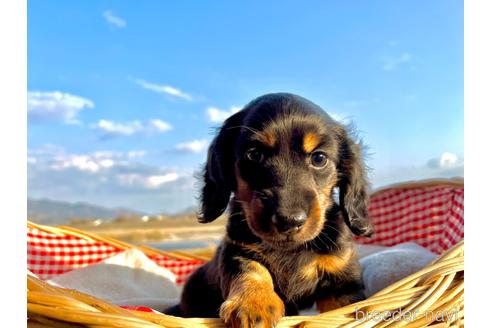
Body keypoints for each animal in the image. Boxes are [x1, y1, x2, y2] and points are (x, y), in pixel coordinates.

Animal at [165, 93, 372, 328]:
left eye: (319, 158)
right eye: (254, 154)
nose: (289, 221)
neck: (290, 250)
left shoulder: (342, 279)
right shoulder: (236, 250)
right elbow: (251, 269)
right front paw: (253, 303)